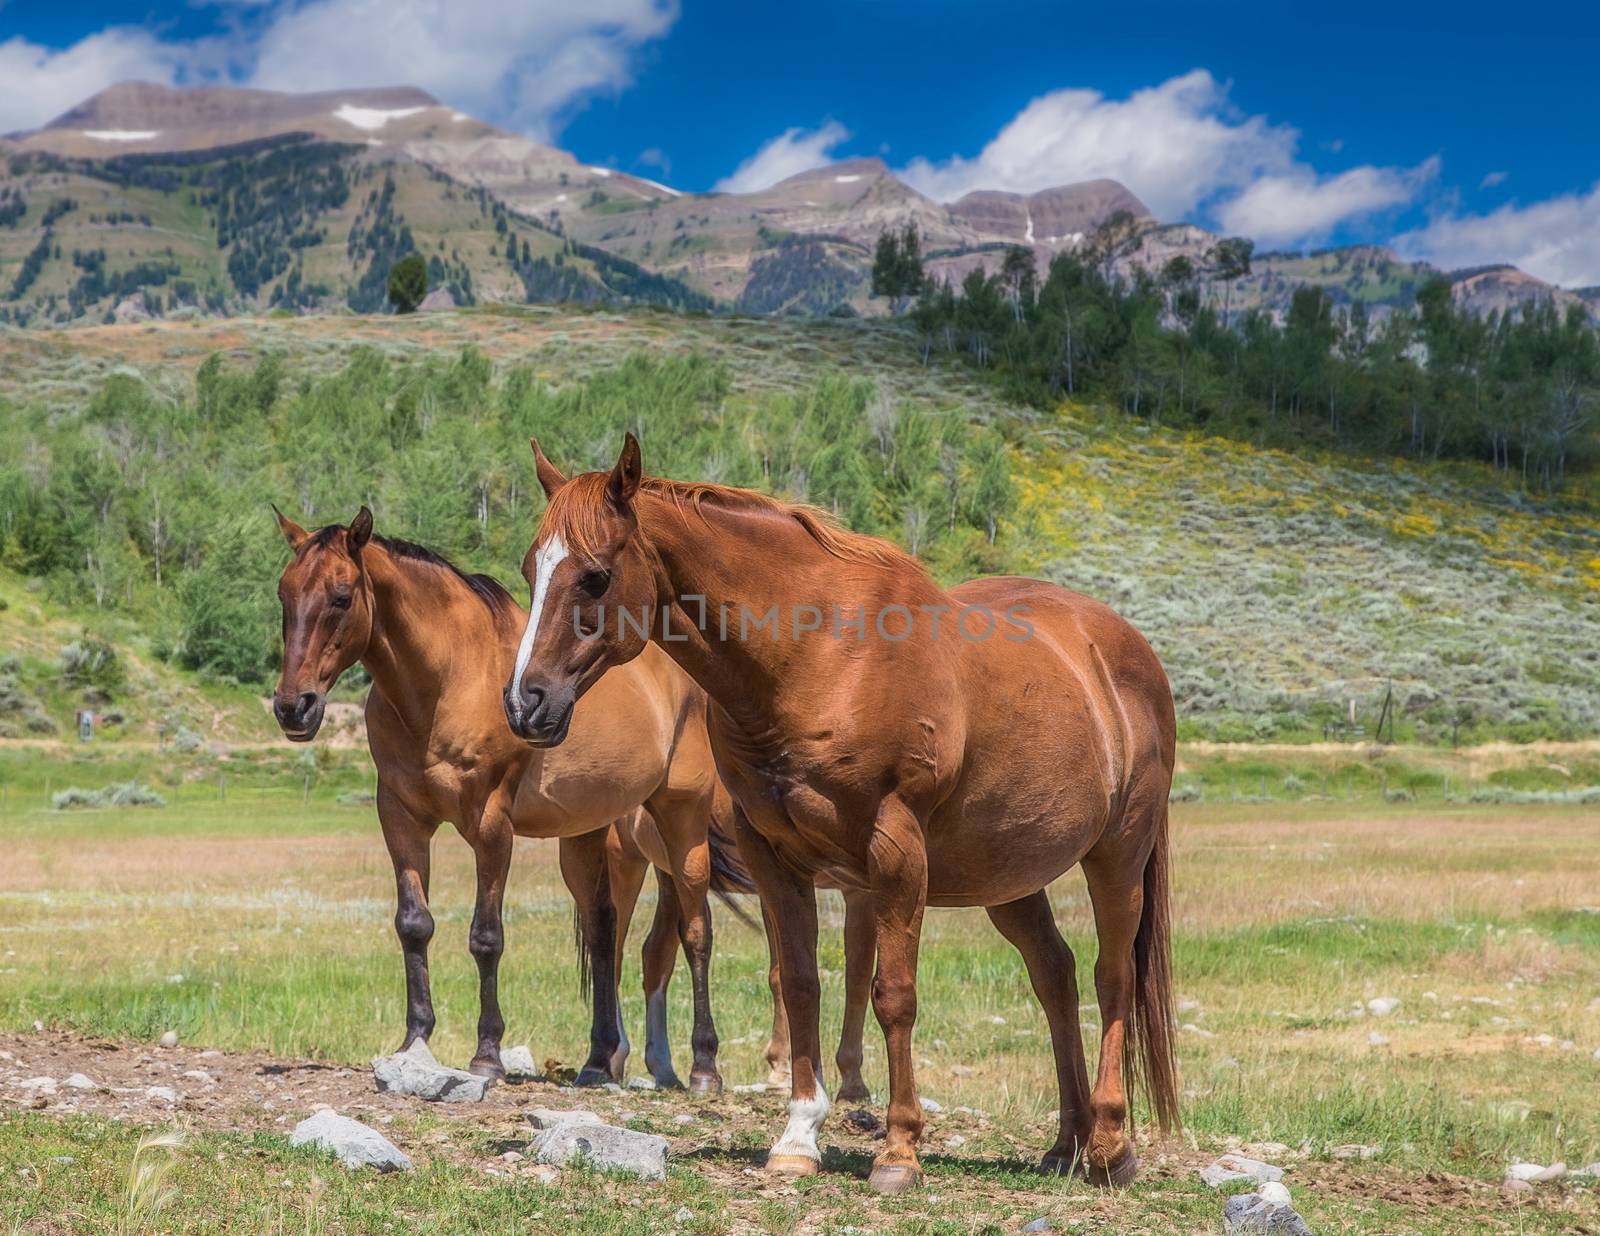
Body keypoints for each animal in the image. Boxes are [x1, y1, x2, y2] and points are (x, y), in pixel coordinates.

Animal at [270, 502, 761, 1088]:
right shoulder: (401, 819)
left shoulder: (490, 826)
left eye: (342, 597)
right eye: (284, 595)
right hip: (586, 838)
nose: (292, 707)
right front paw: (415, 1041)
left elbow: (486, 936)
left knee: (695, 931)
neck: (448, 681)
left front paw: (487, 1054)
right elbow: (414, 925)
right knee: (605, 934)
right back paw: (598, 1061)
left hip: (680, 822)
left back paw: (704, 1066)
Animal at [505, 438, 1184, 1191]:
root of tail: (1122, 650)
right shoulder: (773, 857)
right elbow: (801, 983)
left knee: (1111, 978)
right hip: (1009, 876)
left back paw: (1110, 1146)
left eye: (594, 577)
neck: (821, 655)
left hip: (1116, 857)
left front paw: (899, 1149)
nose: (526, 702)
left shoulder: (895, 854)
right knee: (1056, 978)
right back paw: (1066, 1144)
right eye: (530, 567)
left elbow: (893, 995)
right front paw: (798, 1135)